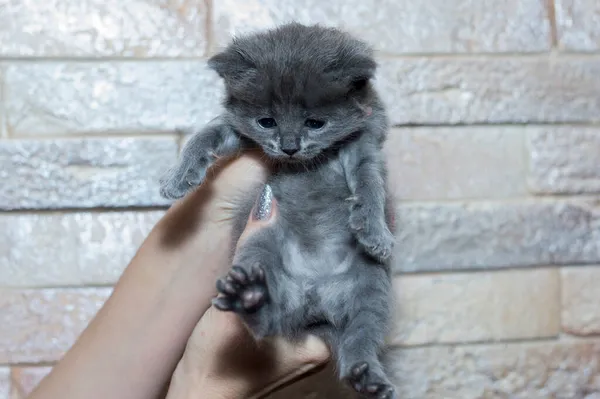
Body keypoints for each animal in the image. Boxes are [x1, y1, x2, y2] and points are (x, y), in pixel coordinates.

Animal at [159, 22, 398, 399]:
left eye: (315, 123)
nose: (289, 147)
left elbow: (370, 182)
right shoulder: (240, 132)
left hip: (373, 285)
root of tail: (313, 299)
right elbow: (207, 133)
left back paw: (368, 377)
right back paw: (251, 299)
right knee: (268, 322)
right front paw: (179, 178)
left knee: (361, 334)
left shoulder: (365, 142)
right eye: (267, 121)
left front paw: (375, 232)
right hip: (259, 248)